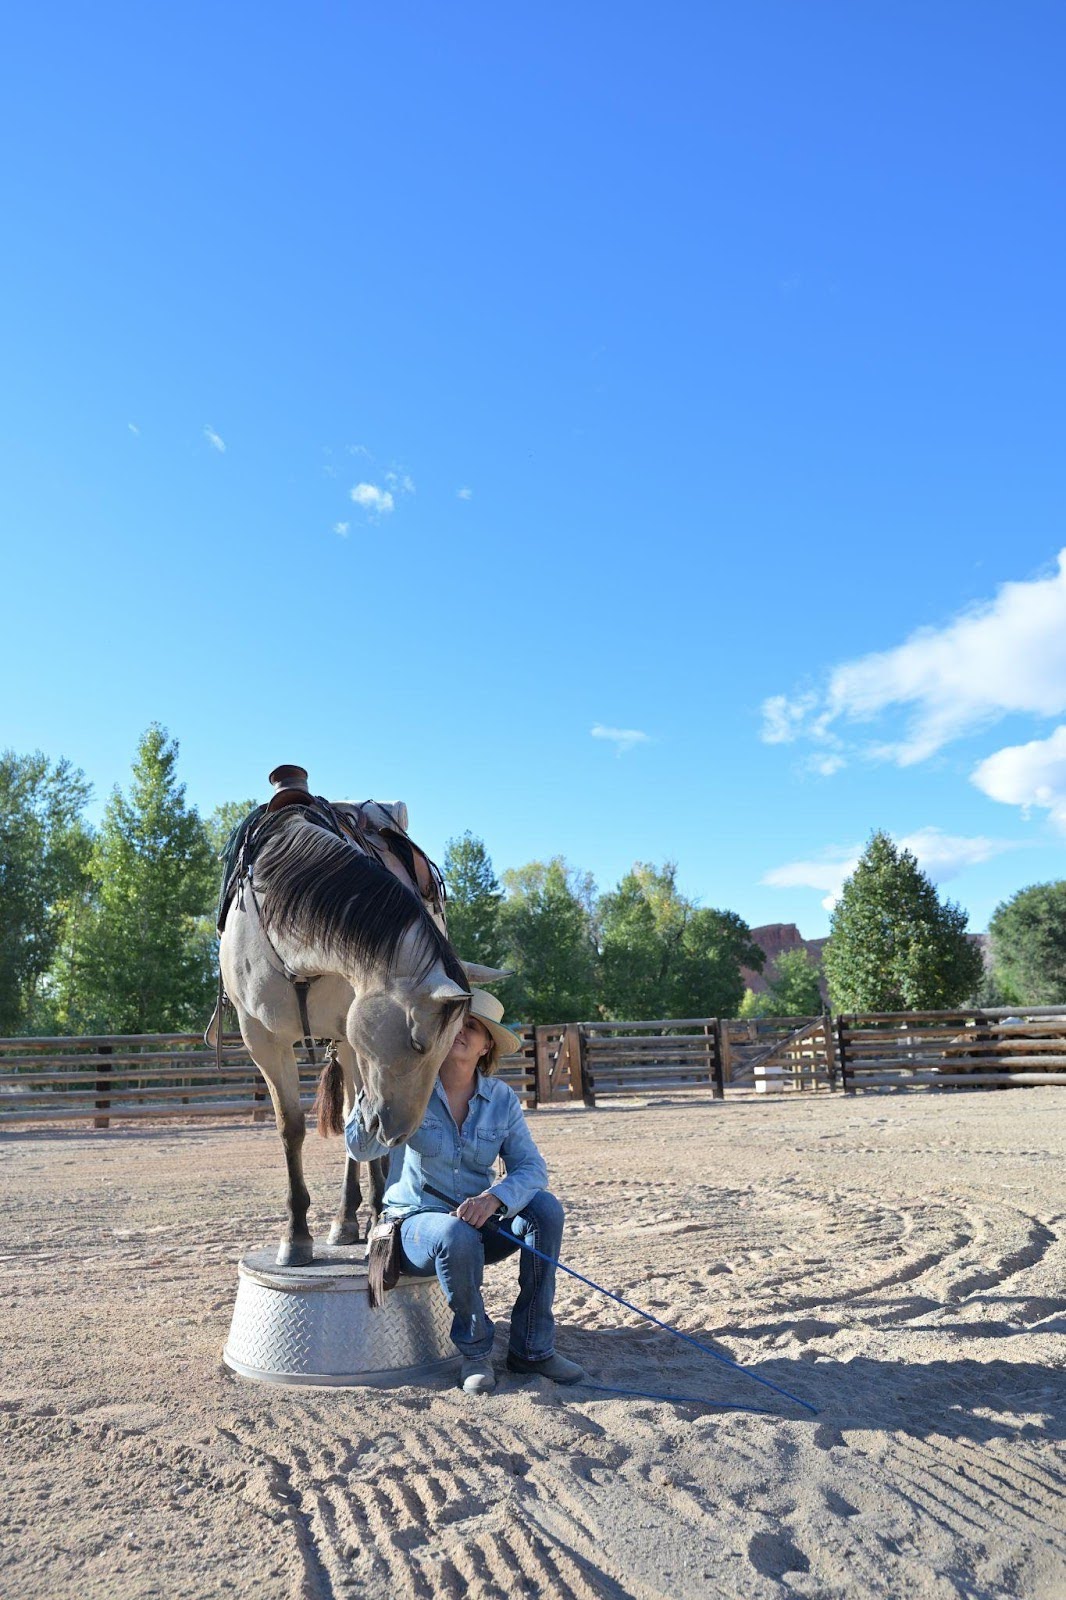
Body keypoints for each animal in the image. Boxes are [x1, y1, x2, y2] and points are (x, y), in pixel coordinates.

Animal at [217, 801, 473, 1266]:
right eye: (418, 1042)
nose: (399, 1131)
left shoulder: (352, 1038)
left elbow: (359, 1129)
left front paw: (374, 1217)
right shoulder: (261, 1039)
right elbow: (291, 1128)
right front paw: (295, 1236)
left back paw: (357, 1216)